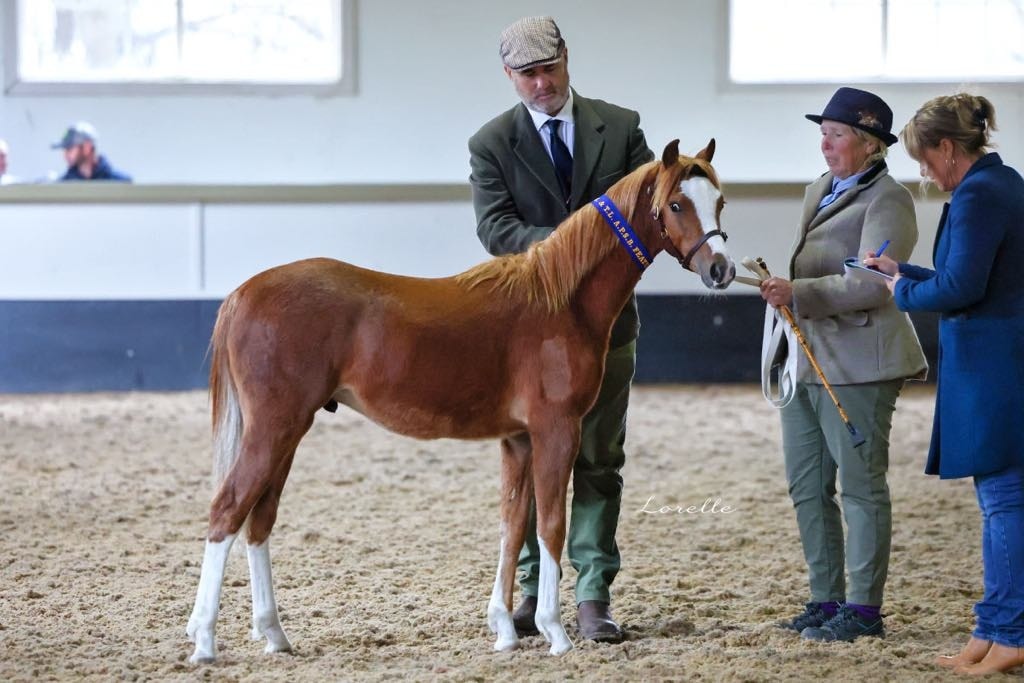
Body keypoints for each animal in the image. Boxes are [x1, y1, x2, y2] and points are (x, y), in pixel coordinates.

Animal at [185, 138, 735, 662]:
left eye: (720, 202)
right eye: (678, 203)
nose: (721, 270)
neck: (561, 302)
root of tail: (242, 294)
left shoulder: (518, 441)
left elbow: (512, 526)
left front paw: (505, 631)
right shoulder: (556, 430)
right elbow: (550, 527)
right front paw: (554, 633)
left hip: (288, 432)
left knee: (259, 520)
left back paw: (274, 635)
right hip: (274, 428)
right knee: (227, 511)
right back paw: (205, 641)